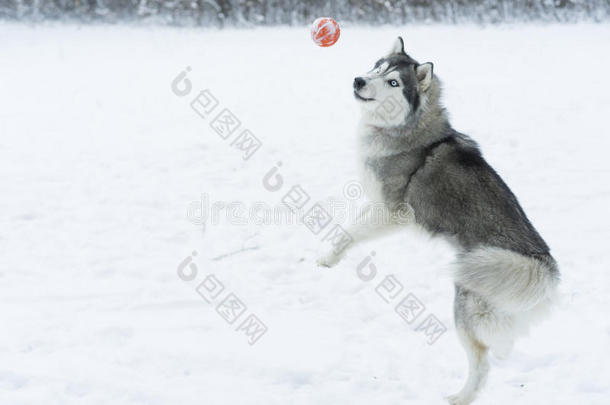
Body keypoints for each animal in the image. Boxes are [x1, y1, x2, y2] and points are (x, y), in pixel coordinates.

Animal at [318, 36, 560, 402]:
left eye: (394, 82)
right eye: (377, 66)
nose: (359, 81)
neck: (407, 128)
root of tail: (542, 264)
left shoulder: (393, 212)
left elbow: (350, 232)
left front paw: (327, 259)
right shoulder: (375, 204)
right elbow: (349, 227)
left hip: (467, 304)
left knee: (482, 363)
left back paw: (461, 397)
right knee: (502, 346)